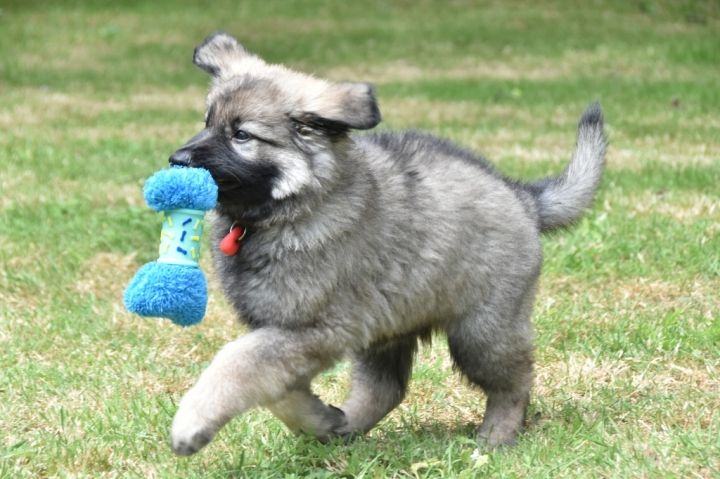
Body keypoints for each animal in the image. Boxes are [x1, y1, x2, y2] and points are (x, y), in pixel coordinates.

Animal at [168, 32, 606, 456]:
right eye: (207, 122)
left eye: (241, 135)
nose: (177, 160)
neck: (293, 206)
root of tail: (522, 197)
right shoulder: (288, 331)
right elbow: (276, 388)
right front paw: (318, 419)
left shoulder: (315, 328)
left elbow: (237, 362)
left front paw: (192, 422)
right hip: (389, 324)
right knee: (387, 389)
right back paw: (344, 428)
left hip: (482, 330)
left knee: (514, 379)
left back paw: (496, 438)